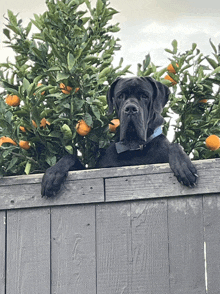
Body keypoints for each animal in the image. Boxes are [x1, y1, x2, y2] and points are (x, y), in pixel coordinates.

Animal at [41, 76, 198, 198]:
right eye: (120, 96)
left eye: (145, 96)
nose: (130, 109)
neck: (133, 146)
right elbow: (70, 157)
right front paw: (53, 174)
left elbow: (175, 146)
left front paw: (183, 166)